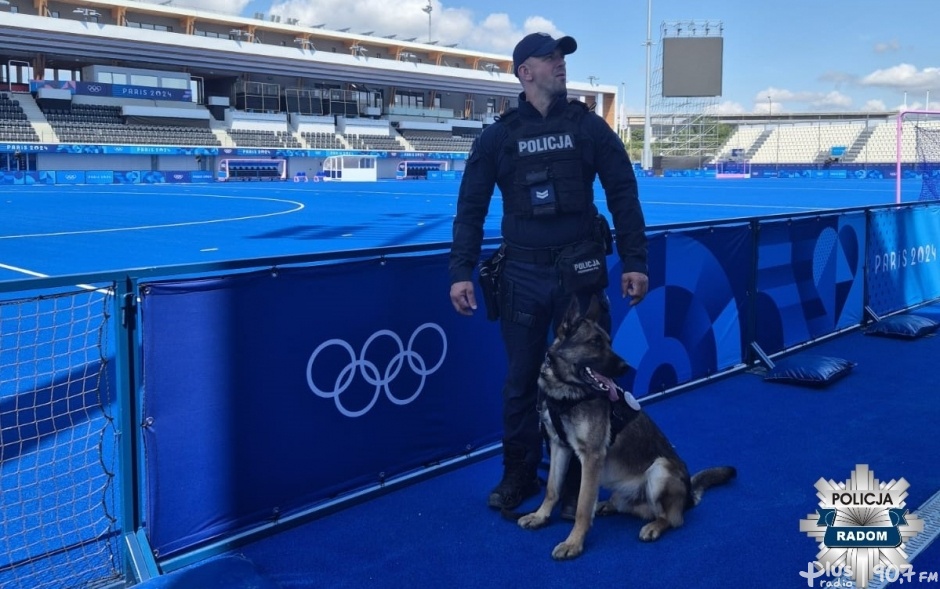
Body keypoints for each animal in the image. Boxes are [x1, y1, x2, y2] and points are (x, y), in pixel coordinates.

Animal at [516, 296, 740, 560]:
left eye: (609, 343)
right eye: (594, 342)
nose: (626, 367)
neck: (567, 392)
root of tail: (687, 495)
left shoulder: (591, 456)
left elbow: (582, 505)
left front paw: (574, 542)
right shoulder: (560, 447)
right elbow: (552, 489)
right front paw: (540, 516)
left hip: (659, 469)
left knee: (671, 518)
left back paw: (654, 526)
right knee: (627, 506)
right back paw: (607, 505)